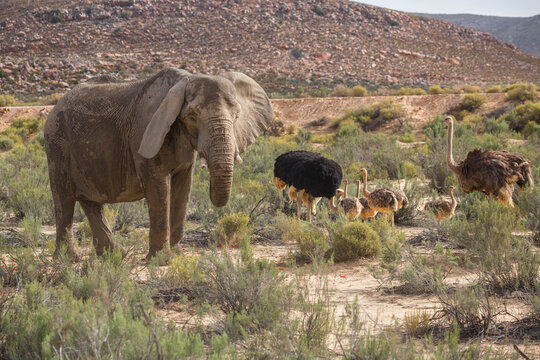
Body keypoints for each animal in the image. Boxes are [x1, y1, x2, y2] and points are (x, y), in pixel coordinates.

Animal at [44, 67, 274, 258]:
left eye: (236, 116)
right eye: (192, 116)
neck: (186, 79)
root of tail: (56, 106)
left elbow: (183, 188)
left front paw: (177, 255)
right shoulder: (146, 132)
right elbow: (159, 189)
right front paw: (161, 260)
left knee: (91, 201)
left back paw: (113, 255)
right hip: (56, 142)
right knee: (65, 200)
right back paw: (68, 259)